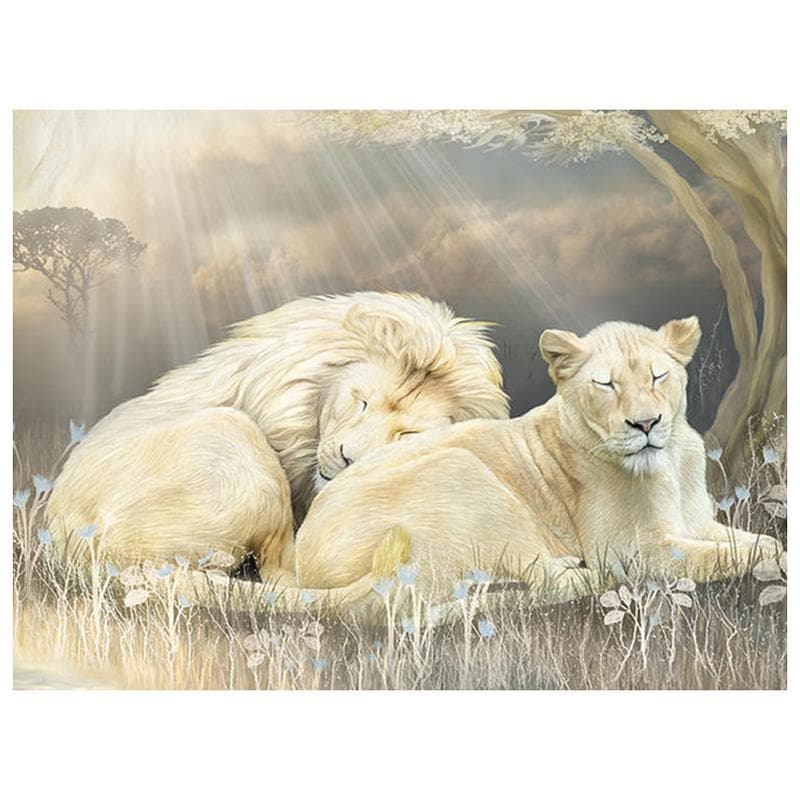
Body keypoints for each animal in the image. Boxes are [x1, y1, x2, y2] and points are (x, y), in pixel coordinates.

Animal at [289, 316, 782, 604]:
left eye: (658, 376)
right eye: (606, 384)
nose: (645, 424)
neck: (671, 465)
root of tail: (303, 560)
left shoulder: (697, 525)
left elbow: (757, 541)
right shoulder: (632, 551)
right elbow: (726, 557)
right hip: (465, 471)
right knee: (538, 580)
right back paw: (579, 575)